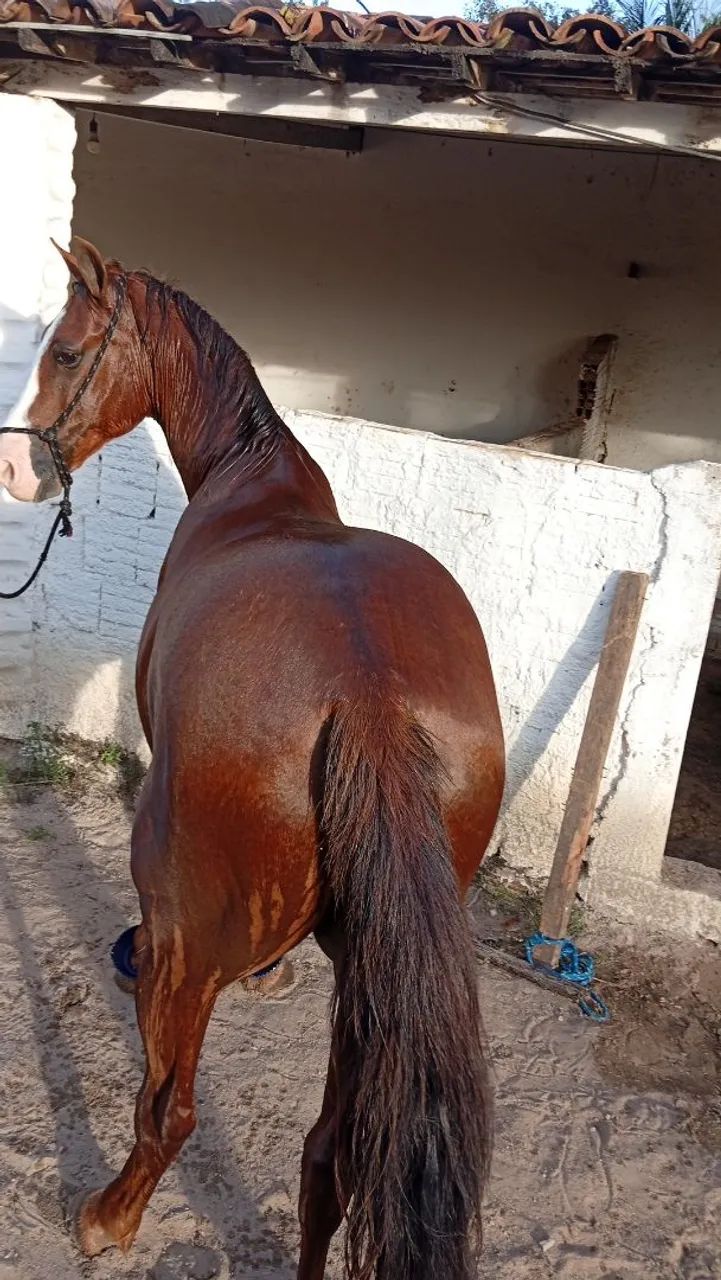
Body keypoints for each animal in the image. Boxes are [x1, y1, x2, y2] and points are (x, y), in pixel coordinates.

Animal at [0, 238, 505, 1280]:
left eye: (65, 352)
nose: (15, 469)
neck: (255, 485)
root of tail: (368, 697)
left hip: (184, 944)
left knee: (171, 1111)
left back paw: (110, 1215)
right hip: (372, 977)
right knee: (331, 1155)